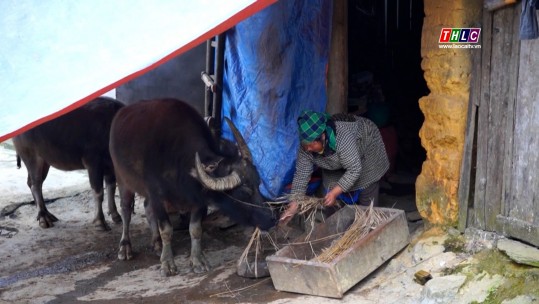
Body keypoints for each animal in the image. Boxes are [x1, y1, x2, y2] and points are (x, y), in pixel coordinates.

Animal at [13, 97, 124, 230]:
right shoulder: (93, 163)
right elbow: (98, 192)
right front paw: (100, 222)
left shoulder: (110, 166)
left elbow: (111, 188)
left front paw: (116, 215)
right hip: (31, 156)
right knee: (36, 184)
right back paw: (43, 218)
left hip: (45, 161)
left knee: (32, 183)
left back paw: (47, 214)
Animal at [110, 98, 278, 276]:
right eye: (245, 191)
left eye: (259, 183)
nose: (272, 218)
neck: (177, 159)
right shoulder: (157, 195)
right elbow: (166, 229)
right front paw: (167, 263)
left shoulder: (198, 200)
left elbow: (195, 229)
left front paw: (197, 260)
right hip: (122, 180)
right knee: (126, 211)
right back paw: (125, 247)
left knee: (147, 208)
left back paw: (156, 243)